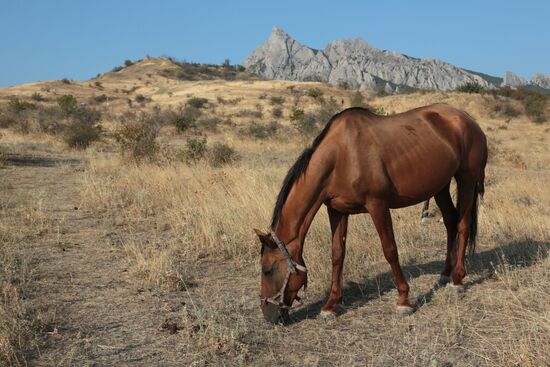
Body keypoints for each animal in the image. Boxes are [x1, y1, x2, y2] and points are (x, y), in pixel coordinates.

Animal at [256, 104, 490, 324]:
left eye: (267, 270)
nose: (268, 315)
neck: (341, 155)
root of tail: (468, 119)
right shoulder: (337, 210)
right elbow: (337, 254)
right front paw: (330, 305)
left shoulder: (377, 205)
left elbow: (390, 250)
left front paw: (404, 300)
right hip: (440, 186)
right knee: (450, 221)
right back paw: (444, 274)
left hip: (466, 179)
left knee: (462, 225)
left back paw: (457, 280)